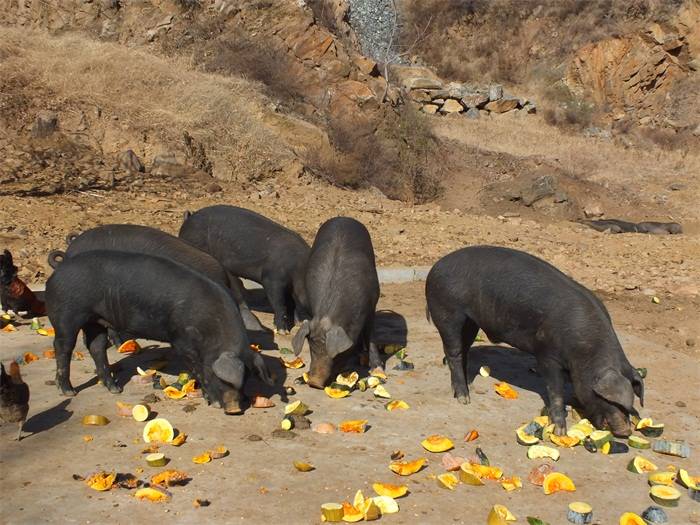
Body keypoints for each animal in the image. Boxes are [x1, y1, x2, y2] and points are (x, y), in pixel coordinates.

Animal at [45, 250, 272, 414]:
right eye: (223, 380)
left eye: (246, 379)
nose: (234, 410)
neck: (211, 330)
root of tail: (56, 273)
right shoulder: (181, 341)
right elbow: (197, 369)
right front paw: (213, 402)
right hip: (67, 315)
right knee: (63, 347)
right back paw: (69, 392)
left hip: (96, 320)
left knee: (96, 346)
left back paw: (115, 389)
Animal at [290, 215, 380, 386]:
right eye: (311, 347)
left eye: (334, 354)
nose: (314, 382)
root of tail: (343, 217)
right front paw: (298, 380)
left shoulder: (371, 305)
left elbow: (371, 335)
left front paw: (377, 369)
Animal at [424, 245, 644, 434]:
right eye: (608, 400)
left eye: (629, 404)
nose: (625, 432)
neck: (585, 352)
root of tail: (435, 267)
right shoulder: (547, 354)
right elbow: (554, 390)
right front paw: (560, 430)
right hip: (447, 311)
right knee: (453, 351)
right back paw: (464, 399)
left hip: (471, 321)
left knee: (464, 348)